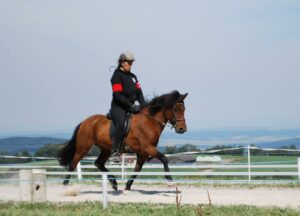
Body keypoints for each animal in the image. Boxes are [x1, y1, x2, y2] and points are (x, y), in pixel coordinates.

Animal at [58, 89, 188, 191]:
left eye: (184, 109)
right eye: (175, 109)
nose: (182, 129)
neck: (149, 121)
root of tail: (85, 121)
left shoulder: (143, 152)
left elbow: (137, 169)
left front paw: (127, 186)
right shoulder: (147, 148)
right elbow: (164, 158)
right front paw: (170, 181)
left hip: (106, 149)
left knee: (98, 163)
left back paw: (114, 183)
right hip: (83, 146)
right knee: (73, 163)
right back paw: (65, 185)